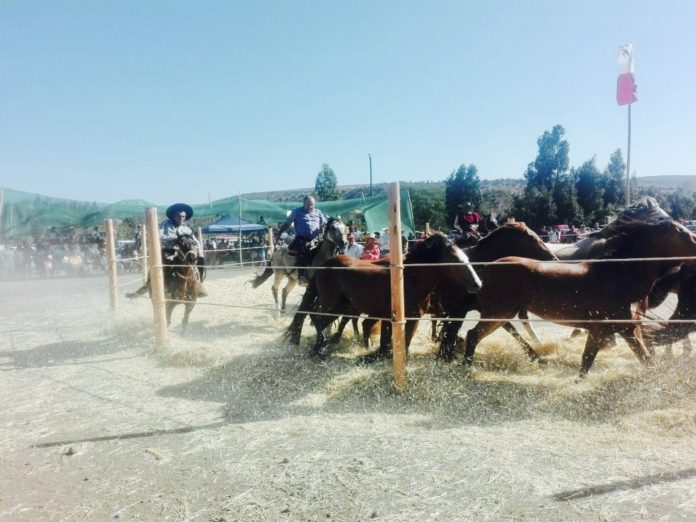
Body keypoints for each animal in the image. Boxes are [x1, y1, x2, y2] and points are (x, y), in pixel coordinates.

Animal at [308, 233, 482, 358]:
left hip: (342, 306)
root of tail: (323, 266)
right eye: (454, 258)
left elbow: (403, 341)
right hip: (331, 305)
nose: (477, 284)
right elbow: (392, 341)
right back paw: (319, 350)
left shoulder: (411, 318)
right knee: (318, 319)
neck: (409, 280)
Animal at [464, 217, 696, 376]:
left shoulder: (605, 329)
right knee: (472, 335)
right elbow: (642, 357)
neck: (617, 275)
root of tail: (485, 269)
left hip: (502, 313)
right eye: (685, 235)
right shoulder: (620, 327)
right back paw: (465, 369)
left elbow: (588, 360)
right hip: (497, 312)